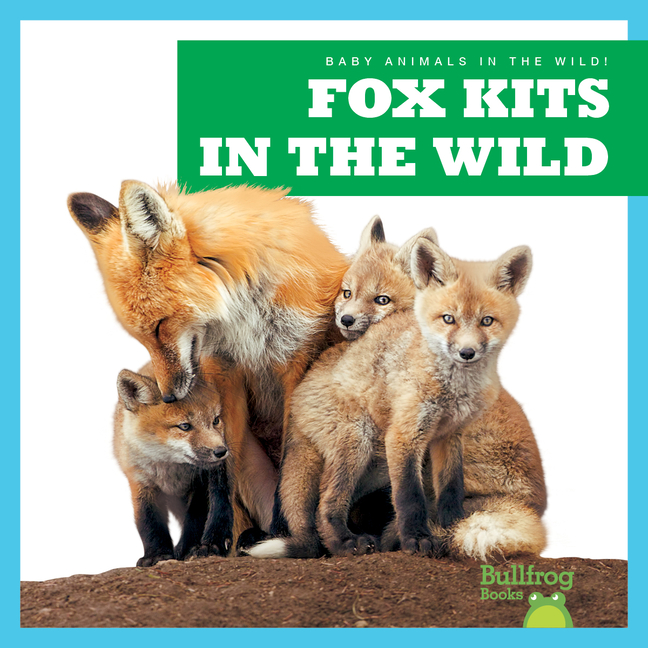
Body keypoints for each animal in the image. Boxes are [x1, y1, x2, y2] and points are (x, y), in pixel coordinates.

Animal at [68, 182, 350, 532]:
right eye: (141, 337)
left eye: (159, 327)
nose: (168, 397)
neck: (244, 317)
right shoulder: (223, 372)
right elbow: (220, 472)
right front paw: (215, 533)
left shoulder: (297, 361)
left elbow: (292, 460)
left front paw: (285, 528)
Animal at [114, 357, 276, 566]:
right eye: (184, 426)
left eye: (216, 420)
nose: (221, 451)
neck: (170, 468)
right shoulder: (140, 480)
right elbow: (149, 522)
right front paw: (157, 554)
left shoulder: (200, 483)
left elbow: (195, 520)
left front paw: (188, 549)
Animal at [248, 236, 534, 559]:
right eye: (448, 319)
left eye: (487, 321)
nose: (467, 352)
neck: (453, 388)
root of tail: (299, 392)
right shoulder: (405, 435)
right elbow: (410, 497)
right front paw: (417, 540)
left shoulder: (449, 435)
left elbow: (451, 489)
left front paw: (454, 527)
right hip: (357, 443)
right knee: (326, 503)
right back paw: (345, 543)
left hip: (376, 465)